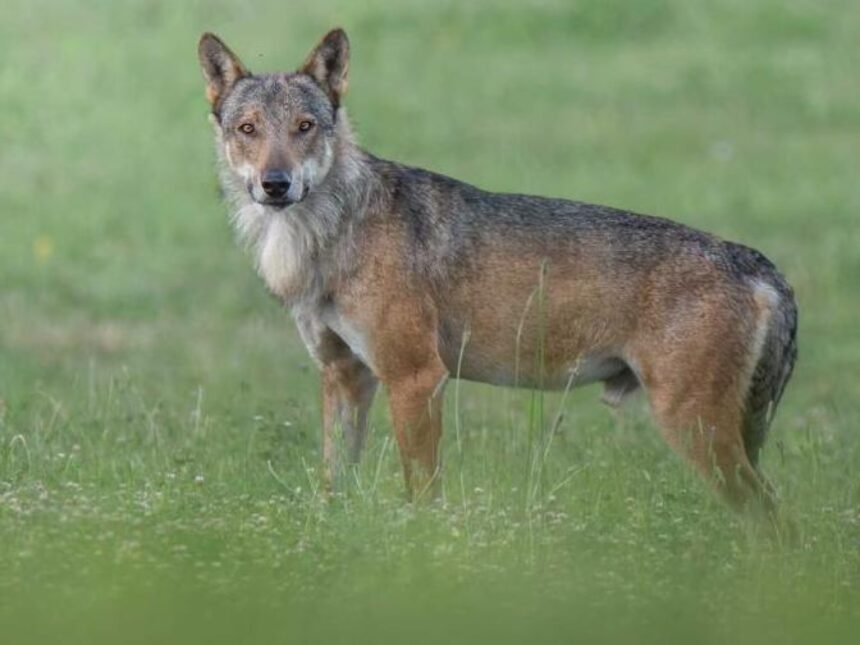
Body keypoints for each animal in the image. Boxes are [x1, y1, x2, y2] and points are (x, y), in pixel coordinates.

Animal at [197, 28, 797, 515]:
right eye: (248, 129)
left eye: (304, 127)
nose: (276, 184)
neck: (328, 236)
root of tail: (755, 263)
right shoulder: (344, 376)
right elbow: (332, 490)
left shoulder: (416, 379)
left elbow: (423, 498)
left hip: (694, 429)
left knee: (777, 522)